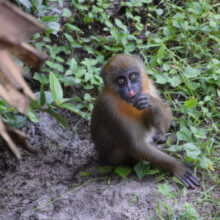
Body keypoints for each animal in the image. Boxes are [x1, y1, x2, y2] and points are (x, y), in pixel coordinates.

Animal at [90, 53, 200, 189]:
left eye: (132, 77)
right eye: (120, 81)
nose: (131, 90)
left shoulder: (150, 90)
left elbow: (159, 124)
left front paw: (153, 104)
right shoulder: (109, 108)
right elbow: (135, 146)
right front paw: (177, 167)